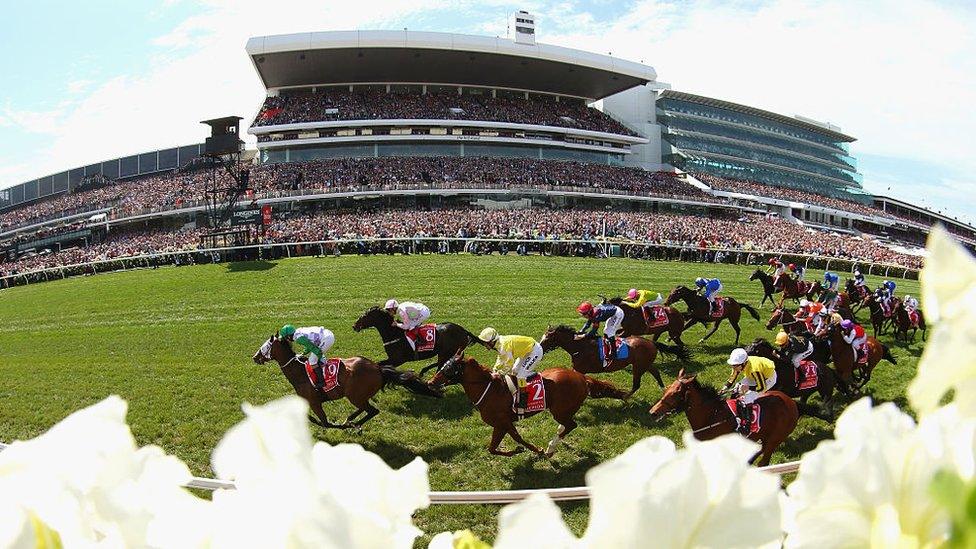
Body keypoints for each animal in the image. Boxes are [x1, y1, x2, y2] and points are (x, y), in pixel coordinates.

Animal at [255, 334, 446, 428]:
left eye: (265, 346)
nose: (255, 357)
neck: (300, 373)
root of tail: (378, 368)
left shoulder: (315, 403)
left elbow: (326, 424)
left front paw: (338, 426)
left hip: (355, 395)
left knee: (373, 411)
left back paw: (353, 424)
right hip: (357, 395)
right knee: (365, 408)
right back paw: (351, 419)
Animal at [354, 304, 484, 376]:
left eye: (364, 316)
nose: (354, 326)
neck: (394, 334)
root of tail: (463, 330)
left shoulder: (398, 360)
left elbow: (379, 364)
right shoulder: (393, 359)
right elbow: (378, 364)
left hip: (447, 351)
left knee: (440, 365)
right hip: (447, 352)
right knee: (443, 362)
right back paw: (424, 371)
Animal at [428, 354, 628, 456]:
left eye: (448, 369)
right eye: (443, 366)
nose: (431, 382)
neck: (487, 389)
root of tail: (582, 377)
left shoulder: (504, 422)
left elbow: (517, 438)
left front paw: (535, 450)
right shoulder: (500, 425)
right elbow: (492, 448)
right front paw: (515, 451)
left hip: (558, 410)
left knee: (571, 425)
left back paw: (551, 447)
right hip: (565, 409)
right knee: (566, 425)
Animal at [536, 324, 692, 396]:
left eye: (547, 338)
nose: (540, 347)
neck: (580, 345)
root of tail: (652, 342)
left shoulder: (580, 369)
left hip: (638, 366)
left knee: (637, 384)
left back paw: (625, 396)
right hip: (645, 363)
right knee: (656, 372)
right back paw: (663, 389)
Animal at [644, 370, 796, 464]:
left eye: (675, 394)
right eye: (667, 388)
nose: (652, 412)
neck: (712, 416)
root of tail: (792, 403)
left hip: (774, 440)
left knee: (764, 461)